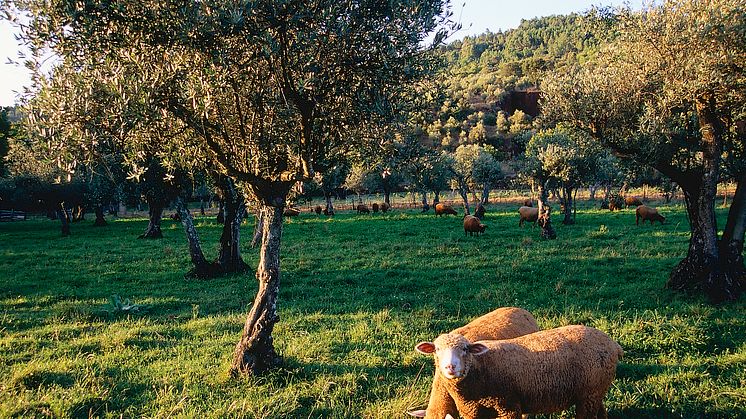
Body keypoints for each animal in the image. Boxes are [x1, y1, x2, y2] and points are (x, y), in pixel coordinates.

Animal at [416, 326, 620, 419]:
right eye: (437, 350)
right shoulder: (471, 411)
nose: (450, 367)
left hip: (589, 394)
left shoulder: (508, 406)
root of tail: (613, 344)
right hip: (593, 392)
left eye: (466, 349)